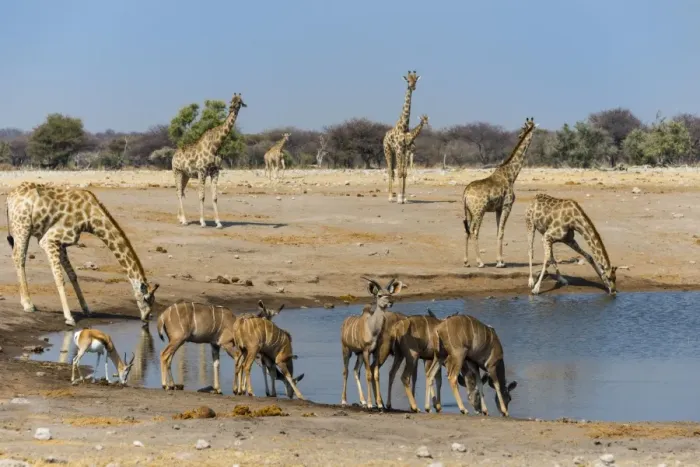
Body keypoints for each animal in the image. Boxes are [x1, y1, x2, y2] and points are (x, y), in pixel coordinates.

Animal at [5, 182, 159, 326]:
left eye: (153, 301)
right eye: (146, 299)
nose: (146, 318)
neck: (91, 218)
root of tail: (9, 197)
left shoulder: (62, 243)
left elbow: (73, 275)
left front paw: (86, 309)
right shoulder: (49, 240)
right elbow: (59, 278)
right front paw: (69, 318)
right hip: (22, 227)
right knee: (19, 257)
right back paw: (28, 304)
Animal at [172, 93, 247, 229]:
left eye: (239, 101)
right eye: (231, 101)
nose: (231, 108)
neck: (216, 145)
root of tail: (174, 155)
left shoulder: (215, 171)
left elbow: (215, 197)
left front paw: (218, 222)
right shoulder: (202, 171)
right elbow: (202, 196)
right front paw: (202, 221)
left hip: (186, 175)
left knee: (180, 191)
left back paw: (180, 218)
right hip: (177, 171)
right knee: (179, 192)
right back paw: (184, 220)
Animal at [383, 70, 420, 203]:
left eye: (416, 80)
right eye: (408, 80)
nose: (413, 87)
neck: (404, 126)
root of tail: (384, 137)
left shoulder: (406, 150)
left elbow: (404, 173)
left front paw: (404, 197)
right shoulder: (399, 149)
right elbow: (399, 172)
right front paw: (399, 198)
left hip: (395, 153)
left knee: (393, 171)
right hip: (388, 151)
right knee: (390, 171)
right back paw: (390, 197)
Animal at [462, 117, 538, 268]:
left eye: (523, 129)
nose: (520, 135)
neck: (511, 175)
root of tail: (466, 194)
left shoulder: (498, 208)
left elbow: (498, 231)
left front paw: (500, 260)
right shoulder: (507, 205)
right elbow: (502, 231)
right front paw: (500, 262)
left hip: (469, 211)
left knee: (467, 231)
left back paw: (466, 261)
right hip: (479, 211)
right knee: (474, 231)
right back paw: (480, 262)